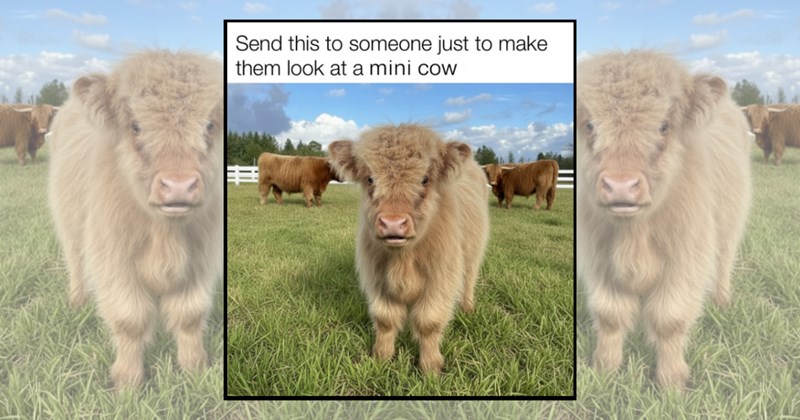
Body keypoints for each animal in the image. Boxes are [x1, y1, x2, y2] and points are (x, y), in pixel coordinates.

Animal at [48, 50, 223, 392]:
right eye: (136, 126)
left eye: (209, 124)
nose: (179, 185)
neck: (165, 235)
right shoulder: (113, 261)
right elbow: (129, 320)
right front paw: (128, 382)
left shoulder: (201, 259)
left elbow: (190, 315)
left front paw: (195, 367)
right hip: (70, 225)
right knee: (74, 262)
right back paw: (77, 301)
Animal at [328, 124, 489, 375]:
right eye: (370, 178)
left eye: (424, 179)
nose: (393, 223)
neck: (403, 259)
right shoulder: (377, 278)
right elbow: (385, 319)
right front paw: (381, 357)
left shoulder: (440, 279)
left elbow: (429, 322)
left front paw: (430, 367)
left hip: (473, 252)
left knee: (470, 279)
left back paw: (468, 308)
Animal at [577, 50, 751, 391]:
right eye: (590, 124)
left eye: (663, 126)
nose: (621, 185)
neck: (634, 235)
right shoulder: (598, 259)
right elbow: (610, 315)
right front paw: (605, 368)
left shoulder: (686, 262)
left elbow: (670, 320)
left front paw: (671, 382)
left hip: (729, 225)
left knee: (725, 262)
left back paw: (722, 300)